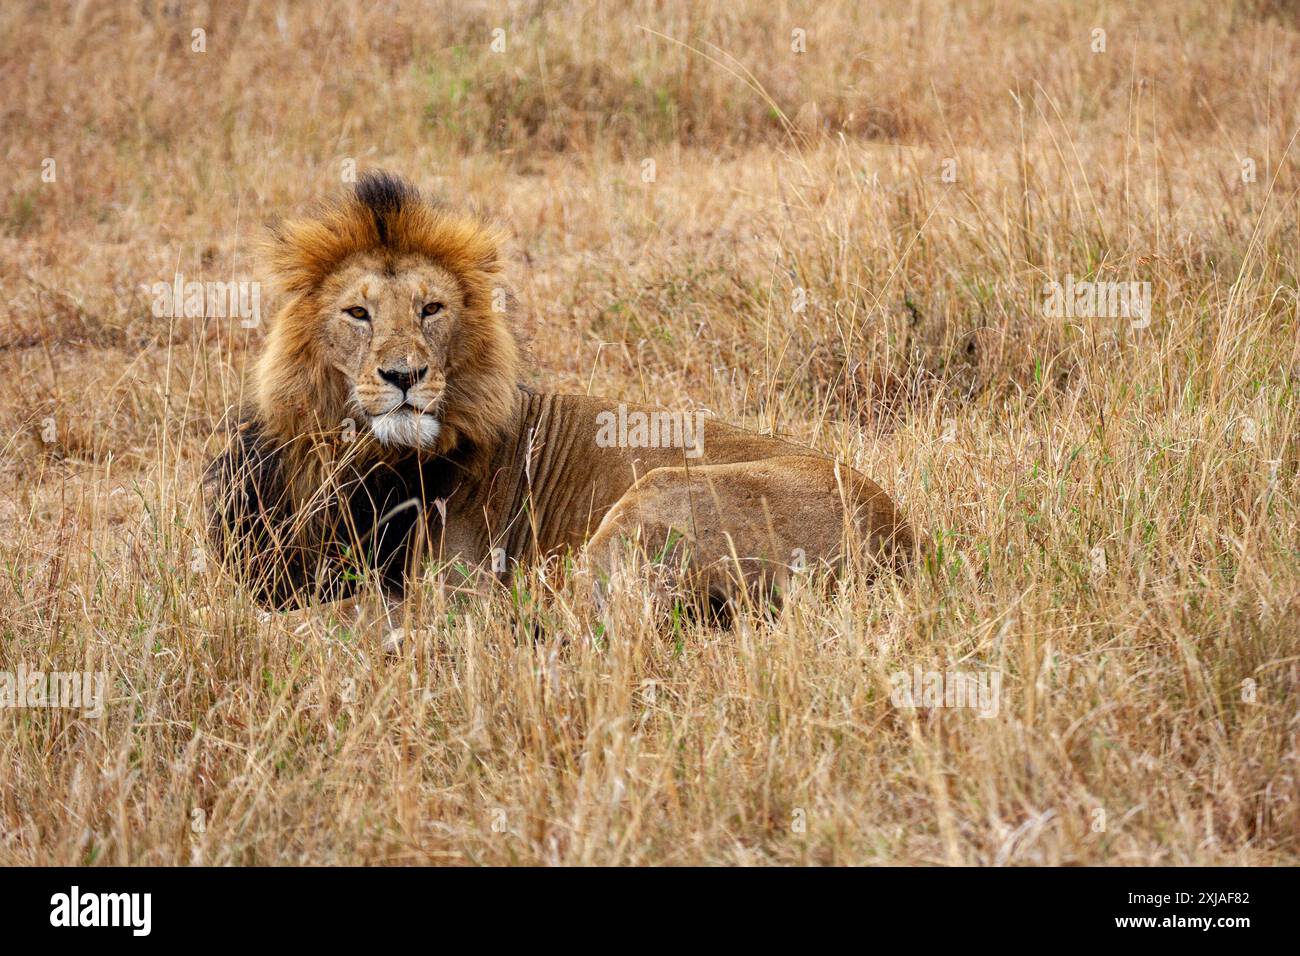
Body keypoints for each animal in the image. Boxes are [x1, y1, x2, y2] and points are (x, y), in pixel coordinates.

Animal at [205, 171, 916, 634]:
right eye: (358, 313)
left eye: (431, 309)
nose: (404, 374)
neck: (352, 457)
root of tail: (899, 542)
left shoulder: (456, 580)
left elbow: (331, 611)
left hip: (657, 496)